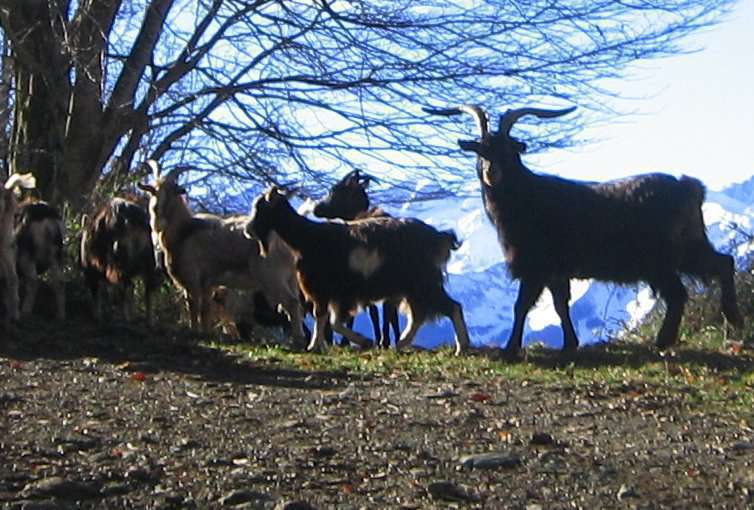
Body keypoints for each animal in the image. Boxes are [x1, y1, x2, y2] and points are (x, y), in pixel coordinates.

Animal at [137, 159, 304, 334]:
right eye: (152, 191)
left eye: (172, 191)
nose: (156, 212)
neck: (185, 231)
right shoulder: (208, 284)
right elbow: (205, 311)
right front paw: (205, 333)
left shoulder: (192, 280)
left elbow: (193, 308)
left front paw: (194, 331)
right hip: (291, 278)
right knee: (296, 304)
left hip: (272, 277)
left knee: (291, 303)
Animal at [424, 105, 740, 356]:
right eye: (480, 149)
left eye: (509, 150)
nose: (491, 172)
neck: (528, 197)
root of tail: (689, 187)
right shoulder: (556, 271)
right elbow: (560, 305)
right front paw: (570, 344)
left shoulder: (536, 266)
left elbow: (521, 305)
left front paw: (511, 349)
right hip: (687, 247)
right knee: (722, 263)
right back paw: (731, 319)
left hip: (660, 259)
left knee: (679, 292)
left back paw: (666, 340)